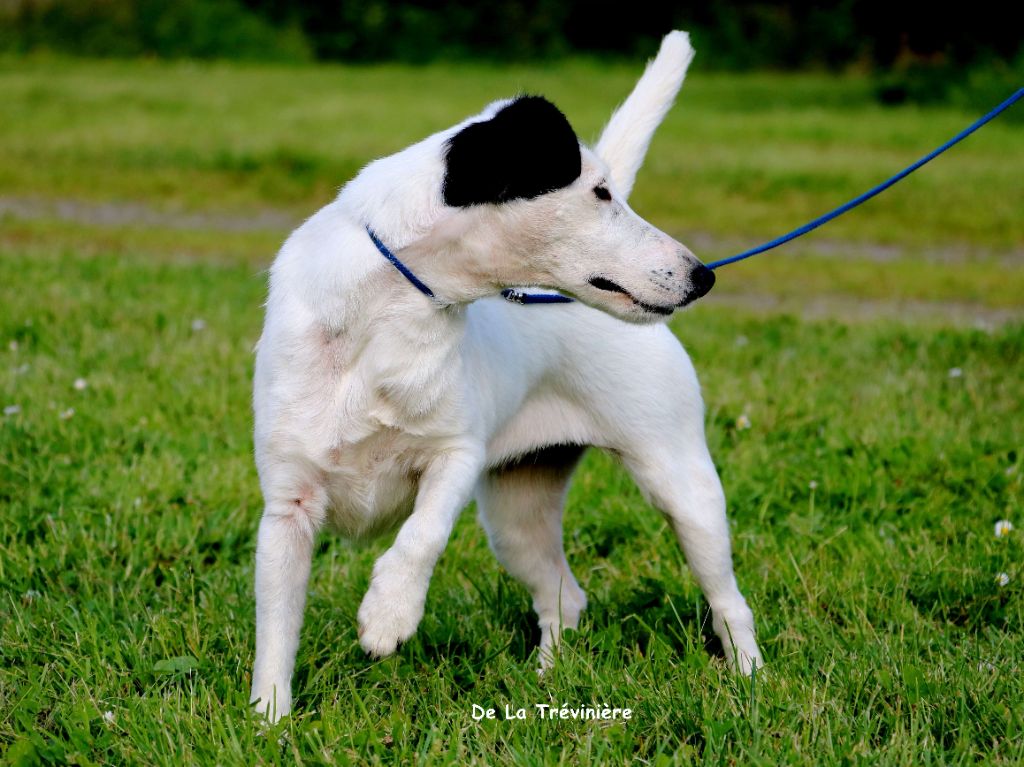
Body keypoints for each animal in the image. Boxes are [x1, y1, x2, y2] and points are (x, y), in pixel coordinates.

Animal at [247, 29, 761, 720]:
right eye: (600, 193)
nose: (701, 275)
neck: (389, 313)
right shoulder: (288, 508)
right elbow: (276, 630)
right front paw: (268, 720)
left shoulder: (457, 453)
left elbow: (422, 534)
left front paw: (388, 615)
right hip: (519, 517)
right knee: (565, 596)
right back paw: (547, 681)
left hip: (683, 485)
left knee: (730, 602)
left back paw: (753, 682)